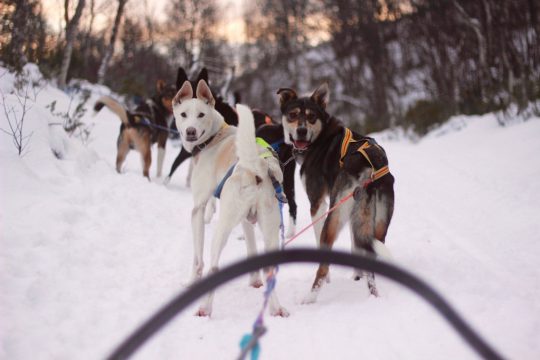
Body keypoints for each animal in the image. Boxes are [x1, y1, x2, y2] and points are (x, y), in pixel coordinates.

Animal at [276, 83, 394, 302]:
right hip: (377, 222)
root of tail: (370, 169)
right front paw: (356, 275)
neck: (320, 138)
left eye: (312, 116)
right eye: (293, 115)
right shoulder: (354, 217)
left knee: (322, 267)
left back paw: (310, 297)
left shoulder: (318, 204)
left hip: (335, 216)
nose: (302, 131)